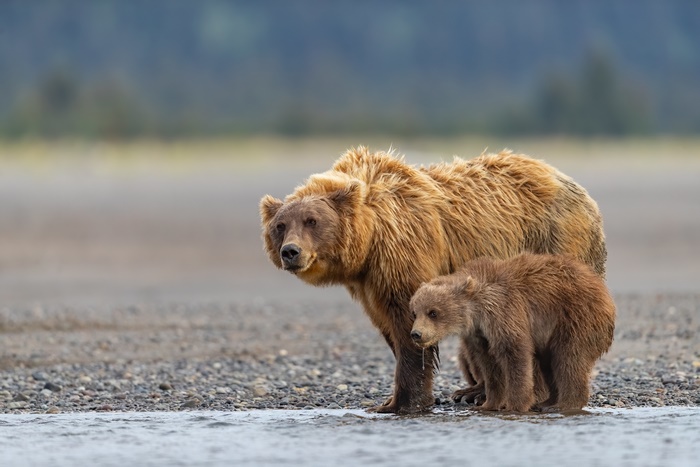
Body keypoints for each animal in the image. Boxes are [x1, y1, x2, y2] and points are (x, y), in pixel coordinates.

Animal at [409, 253, 616, 413]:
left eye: (433, 312)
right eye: (414, 312)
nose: (416, 334)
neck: (478, 310)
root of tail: (605, 293)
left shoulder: (505, 312)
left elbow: (514, 354)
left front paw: (515, 405)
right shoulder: (480, 334)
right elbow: (490, 364)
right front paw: (488, 404)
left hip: (575, 318)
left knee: (568, 358)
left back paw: (564, 405)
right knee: (549, 363)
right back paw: (547, 402)